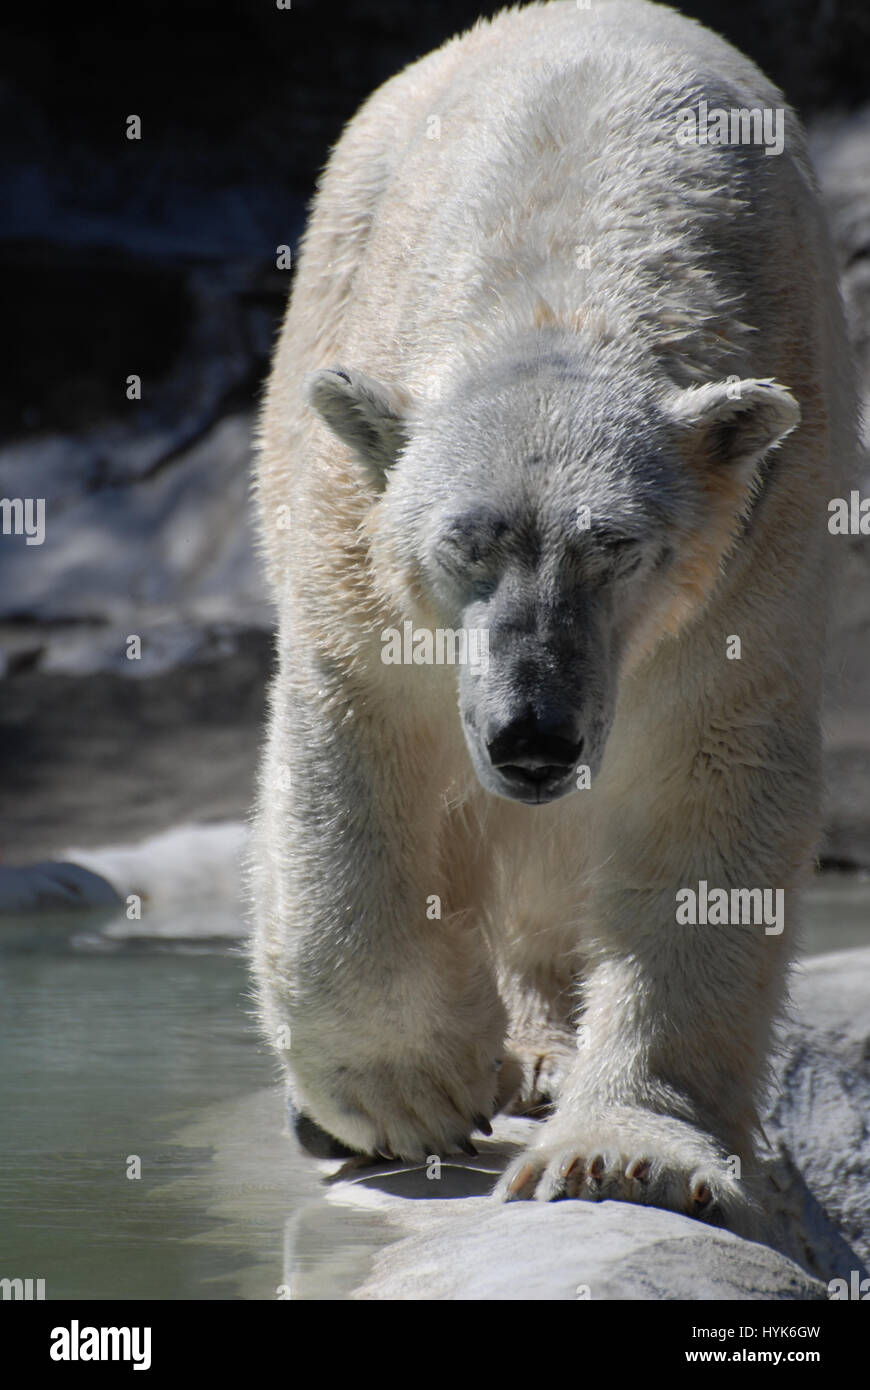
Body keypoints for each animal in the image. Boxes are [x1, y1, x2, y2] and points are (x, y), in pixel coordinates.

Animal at [249, 0, 856, 1234]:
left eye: (615, 544)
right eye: (466, 540)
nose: (534, 735)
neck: (566, 278)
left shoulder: (754, 547)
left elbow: (705, 787)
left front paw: (625, 1155)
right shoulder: (357, 531)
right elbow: (359, 744)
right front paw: (408, 1089)